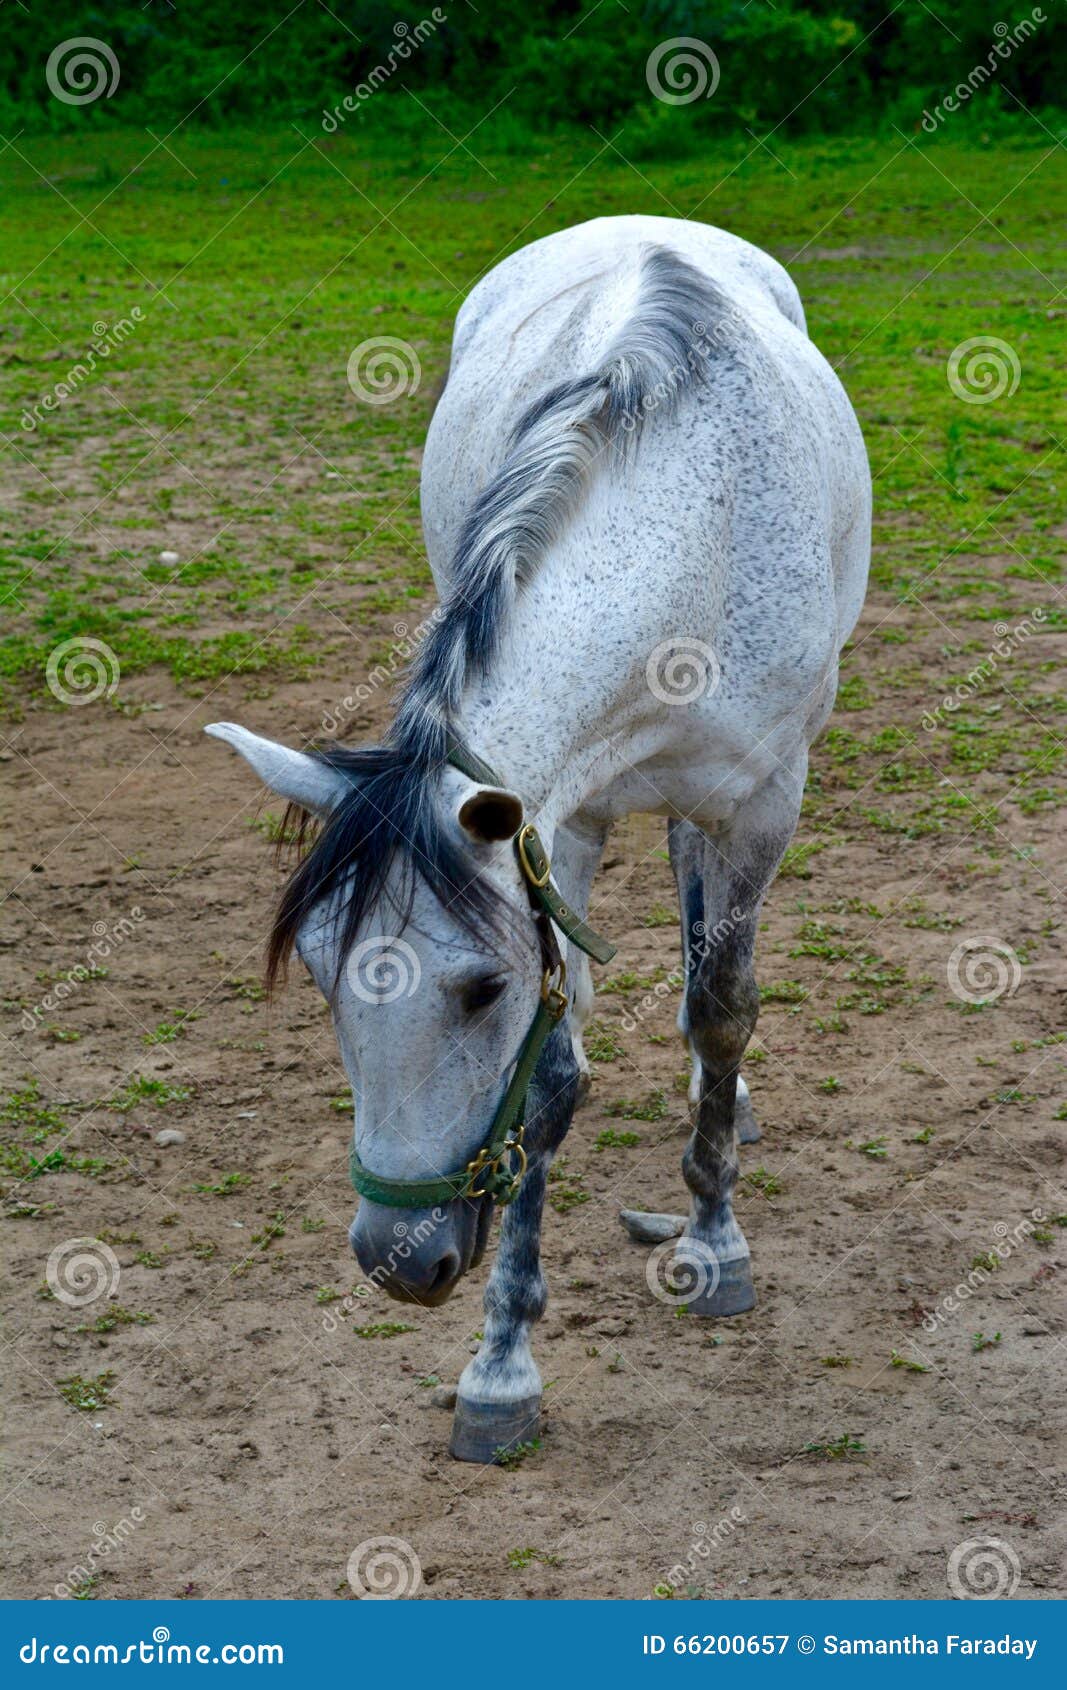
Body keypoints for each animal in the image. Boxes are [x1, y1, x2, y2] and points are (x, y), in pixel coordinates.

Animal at [207, 215, 871, 1463]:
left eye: (476, 989)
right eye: (318, 976)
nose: (397, 1260)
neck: (693, 537)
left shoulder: (762, 801)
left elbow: (724, 1004)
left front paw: (712, 1241)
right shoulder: (556, 828)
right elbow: (552, 1079)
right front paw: (500, 1366)